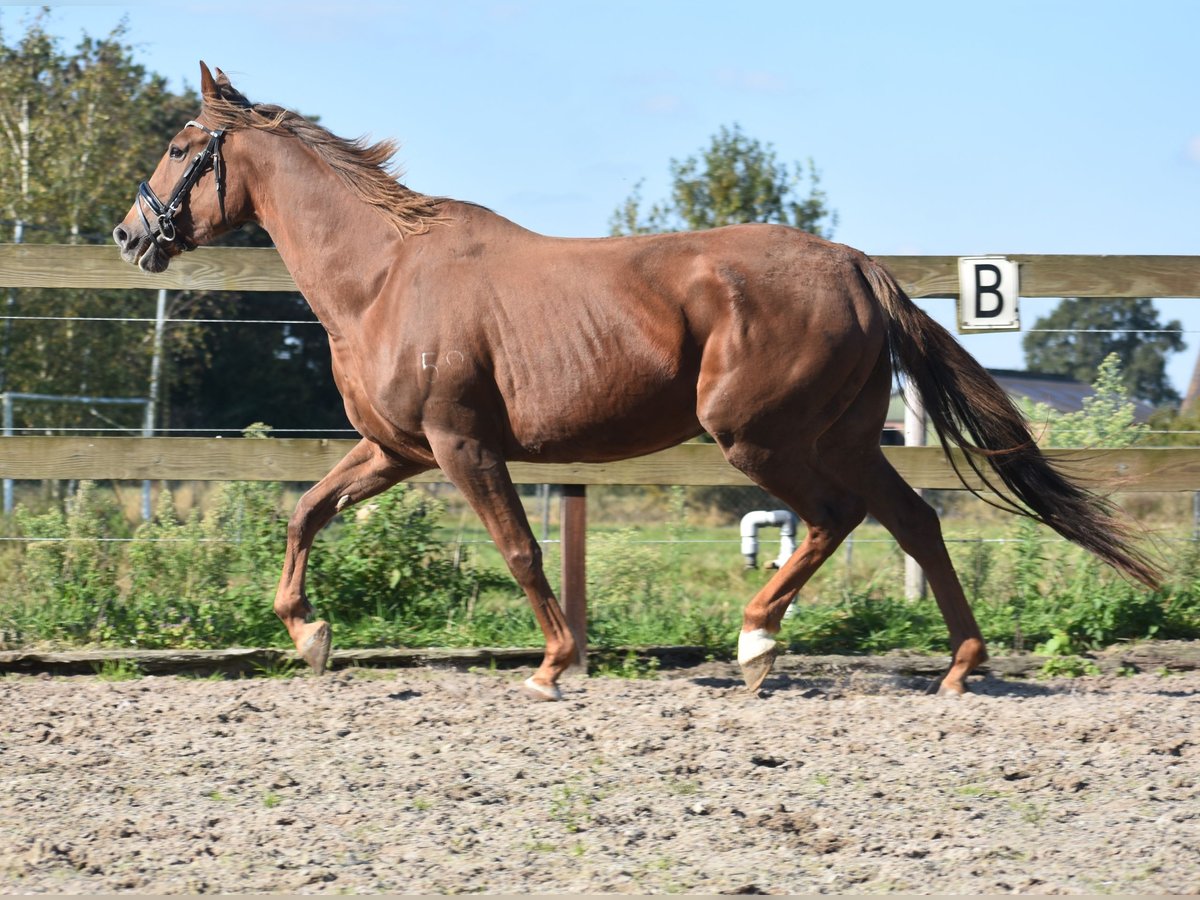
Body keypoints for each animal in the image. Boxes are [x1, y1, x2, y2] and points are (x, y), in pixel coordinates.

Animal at [117, 63, 1156, 700]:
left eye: (179, 144)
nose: (132, 235)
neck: (382, 276)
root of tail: (858, 266)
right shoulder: (394, 450)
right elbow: (305, 511)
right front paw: (310, 636)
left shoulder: (461, 445)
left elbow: (521, 550)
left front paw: (552, 665)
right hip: (844, 437)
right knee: (913, 521)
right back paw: (958, 666)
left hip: (760, 436)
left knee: (837, 519)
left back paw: (757, 642)